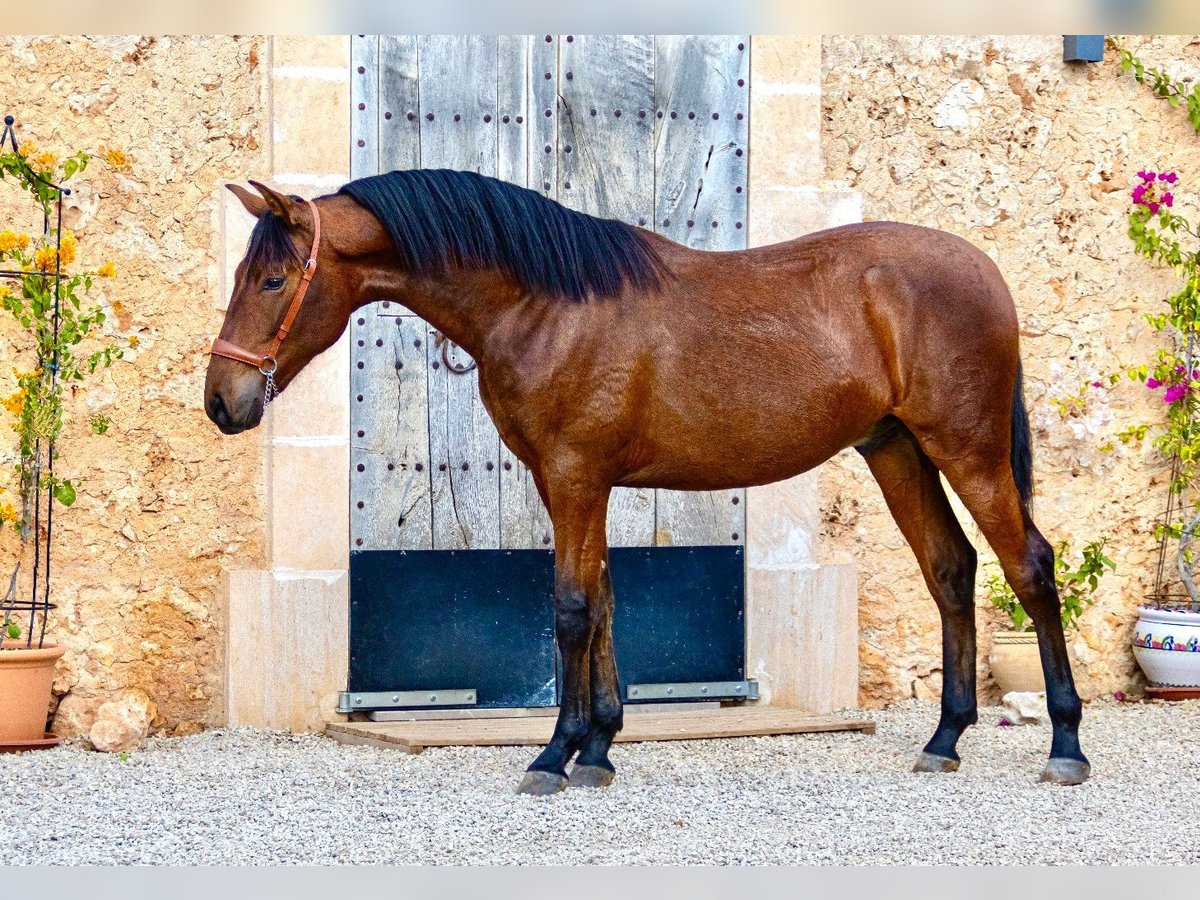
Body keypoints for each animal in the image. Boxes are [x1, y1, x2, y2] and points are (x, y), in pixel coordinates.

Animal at [204, 172, 1089, 792]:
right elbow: (600, 599)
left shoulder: (575, 476)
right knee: (951, 569)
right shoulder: (568, 481)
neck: (544, 302)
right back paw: (944, 741)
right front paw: (598, 749)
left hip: (967, 451)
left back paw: (1066, 745)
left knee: (1030, 568)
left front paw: (554, 756)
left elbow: (571, 607)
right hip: (899, 451)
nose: (223, 401)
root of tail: (985, 272)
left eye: (274, 280)